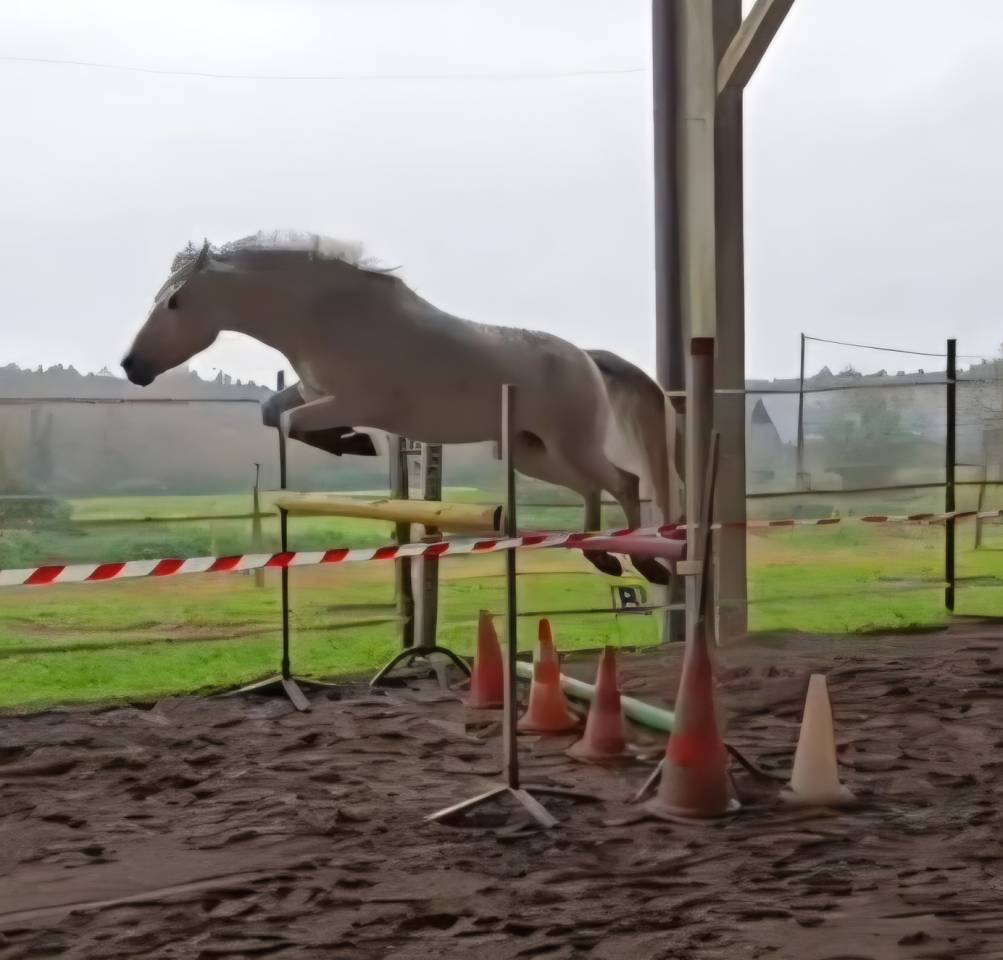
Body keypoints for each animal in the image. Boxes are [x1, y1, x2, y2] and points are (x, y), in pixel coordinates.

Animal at [123, 231, 679, 584]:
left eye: (174, 302)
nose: (131, 366)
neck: (320, 315)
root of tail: (586, 356)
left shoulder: (353, 400)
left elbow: (288, 420)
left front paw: (351, 442)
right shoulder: (313, 390)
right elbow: (271, 411)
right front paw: (346, 441)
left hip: (570, 444)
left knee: (624, 482)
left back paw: (647, 564)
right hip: (533, 453)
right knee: (594, 488)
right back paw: (604, 558)